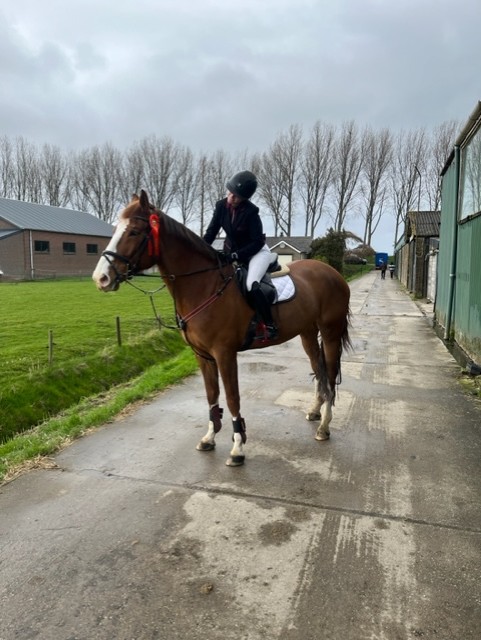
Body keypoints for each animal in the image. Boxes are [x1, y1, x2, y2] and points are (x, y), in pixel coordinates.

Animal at [92, 190, 350, 464]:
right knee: (318, 370)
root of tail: (332, 272)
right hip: (308, 333)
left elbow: (232, 397)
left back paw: (324, 426)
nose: (101, 278)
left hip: (331, 333)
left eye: (133, 231)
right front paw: (209, 437)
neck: (204, 285)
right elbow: (212, 395)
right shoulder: (202, 355)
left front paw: (237, 447)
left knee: (330, 373)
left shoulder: (224, 353)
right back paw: (315, 411)